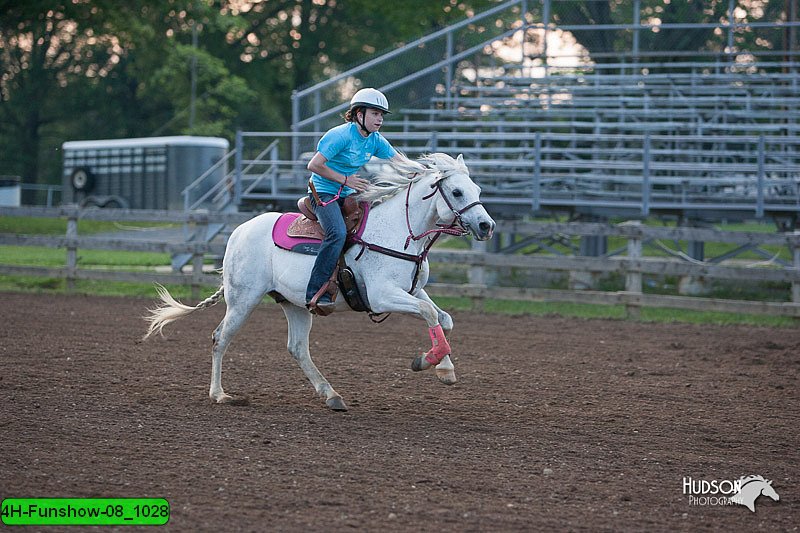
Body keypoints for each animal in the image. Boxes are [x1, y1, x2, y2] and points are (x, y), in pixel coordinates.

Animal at [143, 152, 494, 410]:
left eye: (477, 190)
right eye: (457, 191)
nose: (486, 226)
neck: (399, 232)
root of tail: (239, 232)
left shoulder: (414, 289)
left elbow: (442, 318)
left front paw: (439, 365)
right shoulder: (382, 295)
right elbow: (429, 313)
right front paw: (434, 365)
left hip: (295, 304)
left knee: (297, 348)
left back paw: (331, 395)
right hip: (243, 299)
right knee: (220, 338)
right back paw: (219, 394)